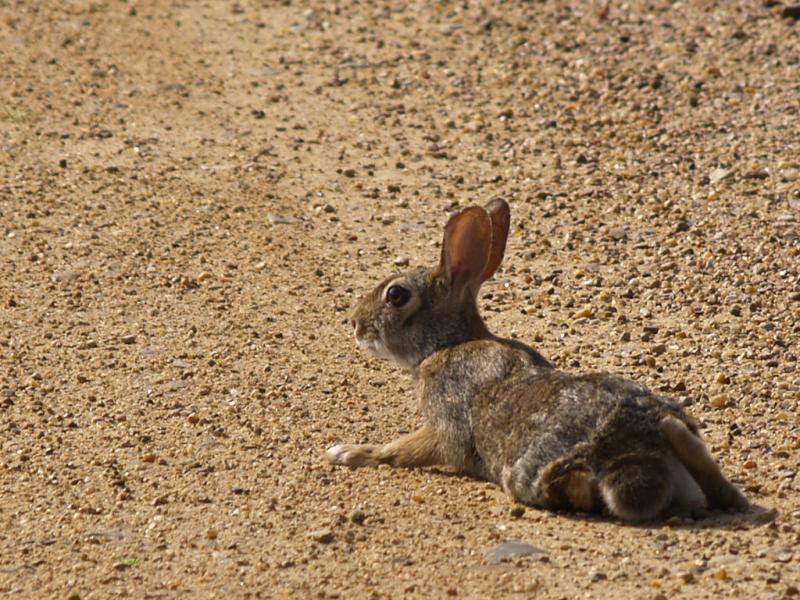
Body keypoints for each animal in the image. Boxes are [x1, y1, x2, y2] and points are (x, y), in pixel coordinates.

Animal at [326, 198, 752, 520]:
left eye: (396, 295)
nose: (355, 323)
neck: (445, 346)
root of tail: (653, 438)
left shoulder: (445, 423)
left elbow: (406, 449)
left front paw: (348, 452)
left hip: (541, 469)